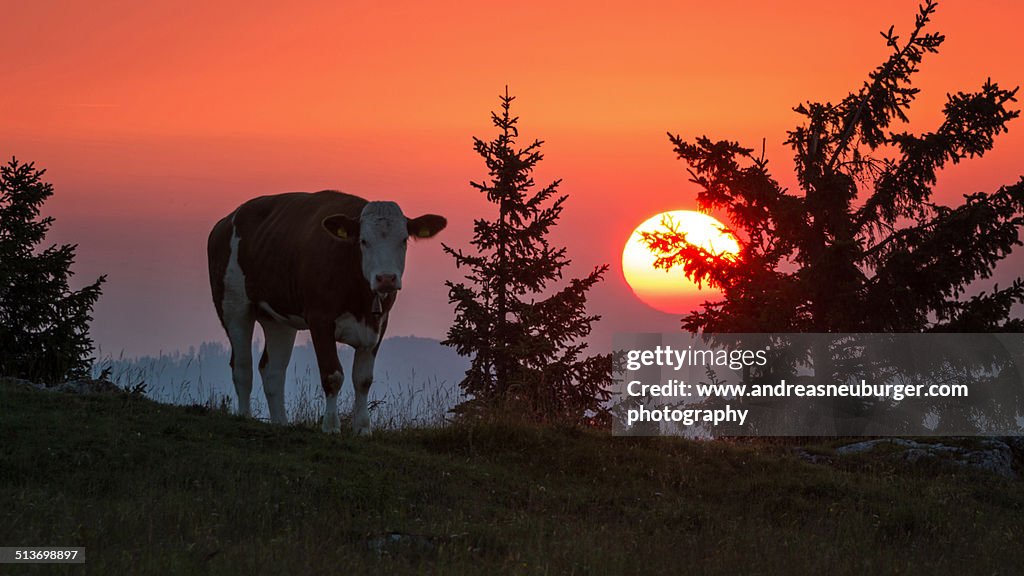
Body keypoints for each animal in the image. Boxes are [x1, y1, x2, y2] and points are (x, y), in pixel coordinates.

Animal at [205, 190, 446, 432]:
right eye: (364, 241)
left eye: (403, 240)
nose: (386, 278)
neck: (360, 299)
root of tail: (226, 220)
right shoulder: (320, 319)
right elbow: (333, 375)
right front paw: (331, 426)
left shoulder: (379, 324)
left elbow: (363, 379)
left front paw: (362, 428)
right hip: (233, 305)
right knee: (242, 365)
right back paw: (244, 416)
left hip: (278, 319)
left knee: (272, 369)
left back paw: (281, 422)